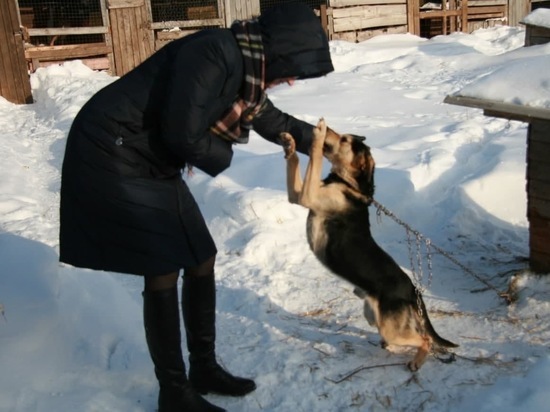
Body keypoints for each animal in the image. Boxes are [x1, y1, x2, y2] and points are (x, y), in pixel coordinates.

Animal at [282, 118, 460, 370]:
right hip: (377, 320)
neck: (349, 183)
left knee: (425, 338)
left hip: (391, 327)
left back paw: (417, 361)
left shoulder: (309, 196)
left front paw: (318, 134)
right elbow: (295, 164)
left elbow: (315, 156)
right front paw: (289, 145)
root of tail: (412, 289)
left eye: (344, 140)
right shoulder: (298, 195)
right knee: (405, 338)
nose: (323, 126)